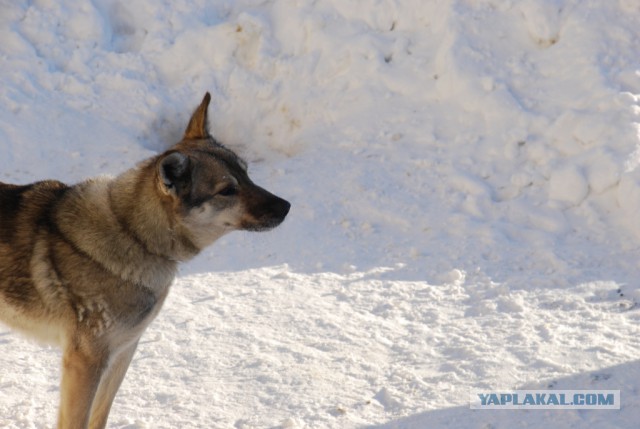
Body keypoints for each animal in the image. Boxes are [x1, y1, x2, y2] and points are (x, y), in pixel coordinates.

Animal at [0, 93, 288, 428]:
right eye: (227, 190)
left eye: (246, 173)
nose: (287, 206)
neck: (134, 235)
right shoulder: (85, 361)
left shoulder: (123, 352)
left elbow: (100, 416)